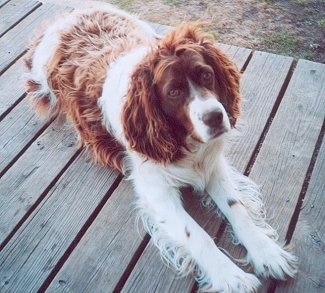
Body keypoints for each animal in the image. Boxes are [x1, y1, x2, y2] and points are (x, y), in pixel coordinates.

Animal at [24, 4, 298, 290]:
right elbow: (196, 235)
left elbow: (237, 207)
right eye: (173, 92)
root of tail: (71, 14)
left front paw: (267, 252)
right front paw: (230, 276)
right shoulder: (157, 191)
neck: (185, 142)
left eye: (207, 75)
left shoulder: (212, 166)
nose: (215, 117)